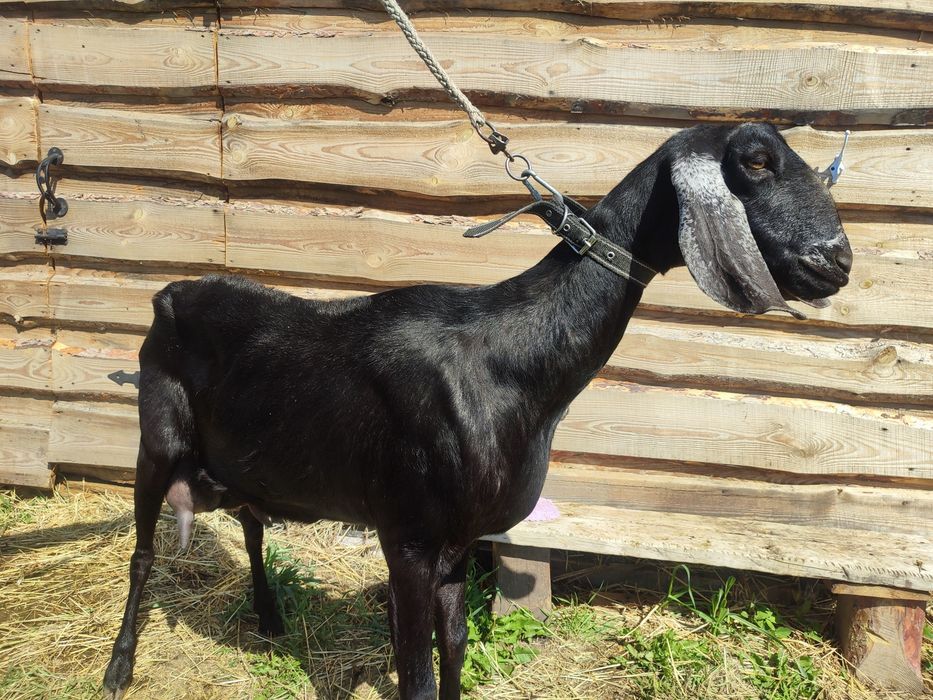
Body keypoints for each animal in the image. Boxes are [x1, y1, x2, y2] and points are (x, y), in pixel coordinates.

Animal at [103, 123, 851, 700]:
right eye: (756, 160)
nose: (836, 260)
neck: (506, 358)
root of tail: (167, 295)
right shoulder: (406, 533)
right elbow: (416, 674)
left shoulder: (459, 541)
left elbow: (457, 645)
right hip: (156, 440)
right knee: (142, 554)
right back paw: (119, 668)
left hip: (243, 459)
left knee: (252, 522)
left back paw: (268, 616)